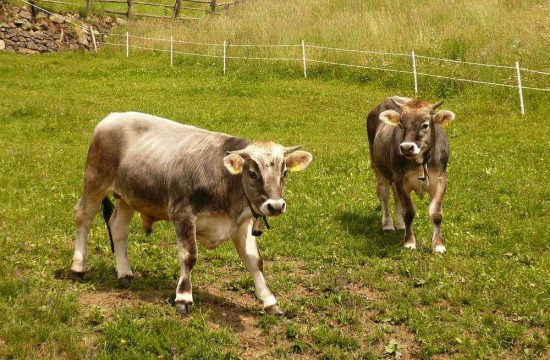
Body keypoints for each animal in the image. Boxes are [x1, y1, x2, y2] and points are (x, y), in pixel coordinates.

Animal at [72, 112, 314, 312]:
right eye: (253, 173)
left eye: (284, 173)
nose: (275, 206)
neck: (224, 179)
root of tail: (113, 117)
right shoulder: (182, 214)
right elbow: (189, 256)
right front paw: (183, 298)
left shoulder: (242, 224)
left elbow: (255, 261)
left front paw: (269, 301)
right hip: (95, 181)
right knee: (83, 217)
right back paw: (78, 267)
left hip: (129, 196)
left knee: (118, 227)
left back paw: (124, 273)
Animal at [366, 97, 458, 252]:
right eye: (401, 124)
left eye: (425, 125)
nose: (406, 147)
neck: (422, 161)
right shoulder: (401, 179)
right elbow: (408, 212)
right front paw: (409, 243)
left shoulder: (440, 180)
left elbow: (436, 213)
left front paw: (438, 245)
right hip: (378, 167)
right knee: (384, 196)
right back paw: (388, 225)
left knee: (396, 198)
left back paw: (400, 225)